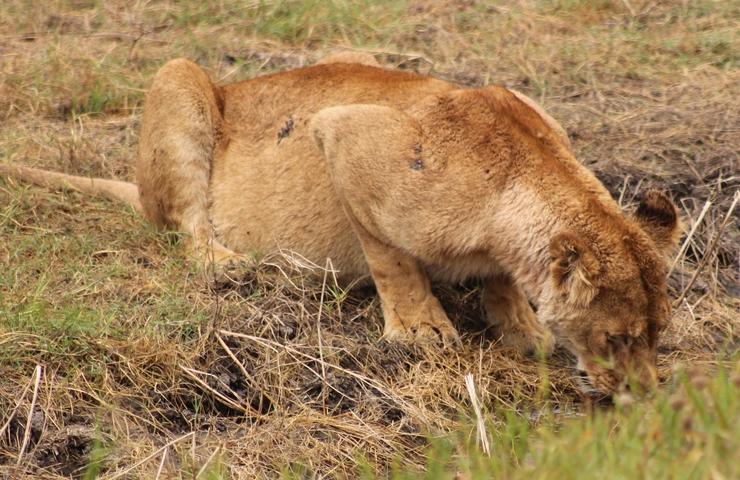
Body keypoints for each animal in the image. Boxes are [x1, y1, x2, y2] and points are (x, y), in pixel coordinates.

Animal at [1, 52, 680, 394]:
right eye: (619, 339)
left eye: (656, 337)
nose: (647, 391)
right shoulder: (346, 134)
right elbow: (391, 257)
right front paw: (421, 330)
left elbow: (505, 280)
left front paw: (519, 324)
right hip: (180, 81)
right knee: (186, 228)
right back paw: (230, 264)